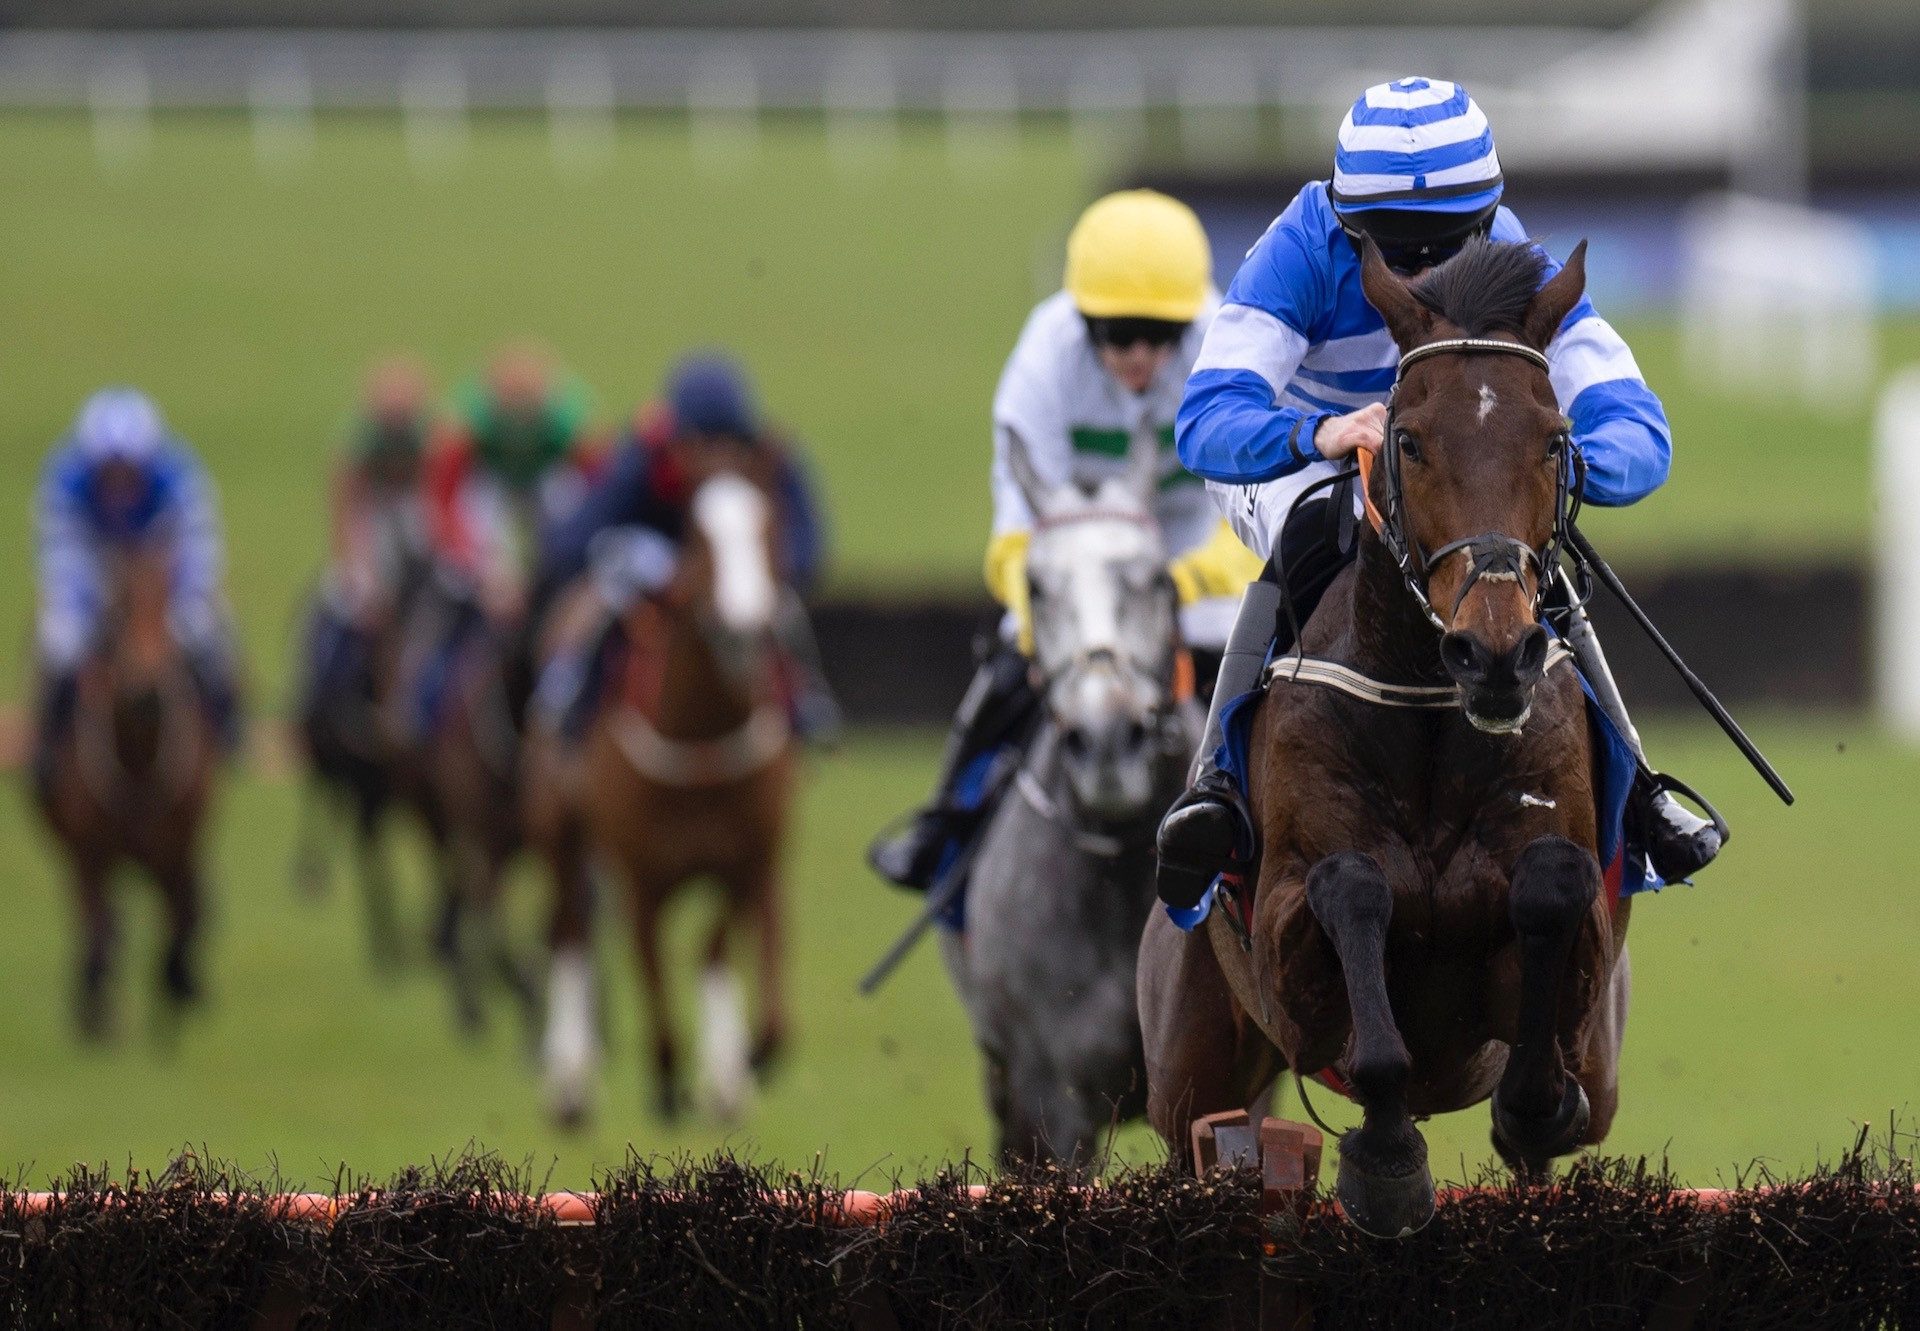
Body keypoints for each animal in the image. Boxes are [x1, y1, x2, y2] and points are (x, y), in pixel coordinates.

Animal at [36, 541, 219, 1037]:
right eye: (116, 611)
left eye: (166, 607)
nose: (146, 694)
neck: (137, 763)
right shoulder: (89, 854)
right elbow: (98, 931)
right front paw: (96, 1018)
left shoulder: (176, 849)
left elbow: (178, 928)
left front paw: (175, 1005)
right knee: (98, 923)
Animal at [526, 462, 794, 1129]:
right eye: (696, 535)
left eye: (770, 526)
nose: (745, 629)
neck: (699, 746)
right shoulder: (639, 871)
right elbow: (650, 971)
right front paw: (670, 1081)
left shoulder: (747, 860)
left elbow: (715, 950)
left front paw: (728, 1079)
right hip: (557, 830)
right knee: (568, 929)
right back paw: (570, 1081)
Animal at [1136, 236, 1635, 1236]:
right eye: (1407, 439)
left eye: (1554, 438)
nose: (1495, 653)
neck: (1433, 711)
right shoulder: (1286, 952)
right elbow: (1353, 888)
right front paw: (1389, 1160)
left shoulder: (1574, 938)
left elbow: (1553, 885)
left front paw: (1527, 1102)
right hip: (1188, 1065)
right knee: (1196, 1135)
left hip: (1604, 1064)